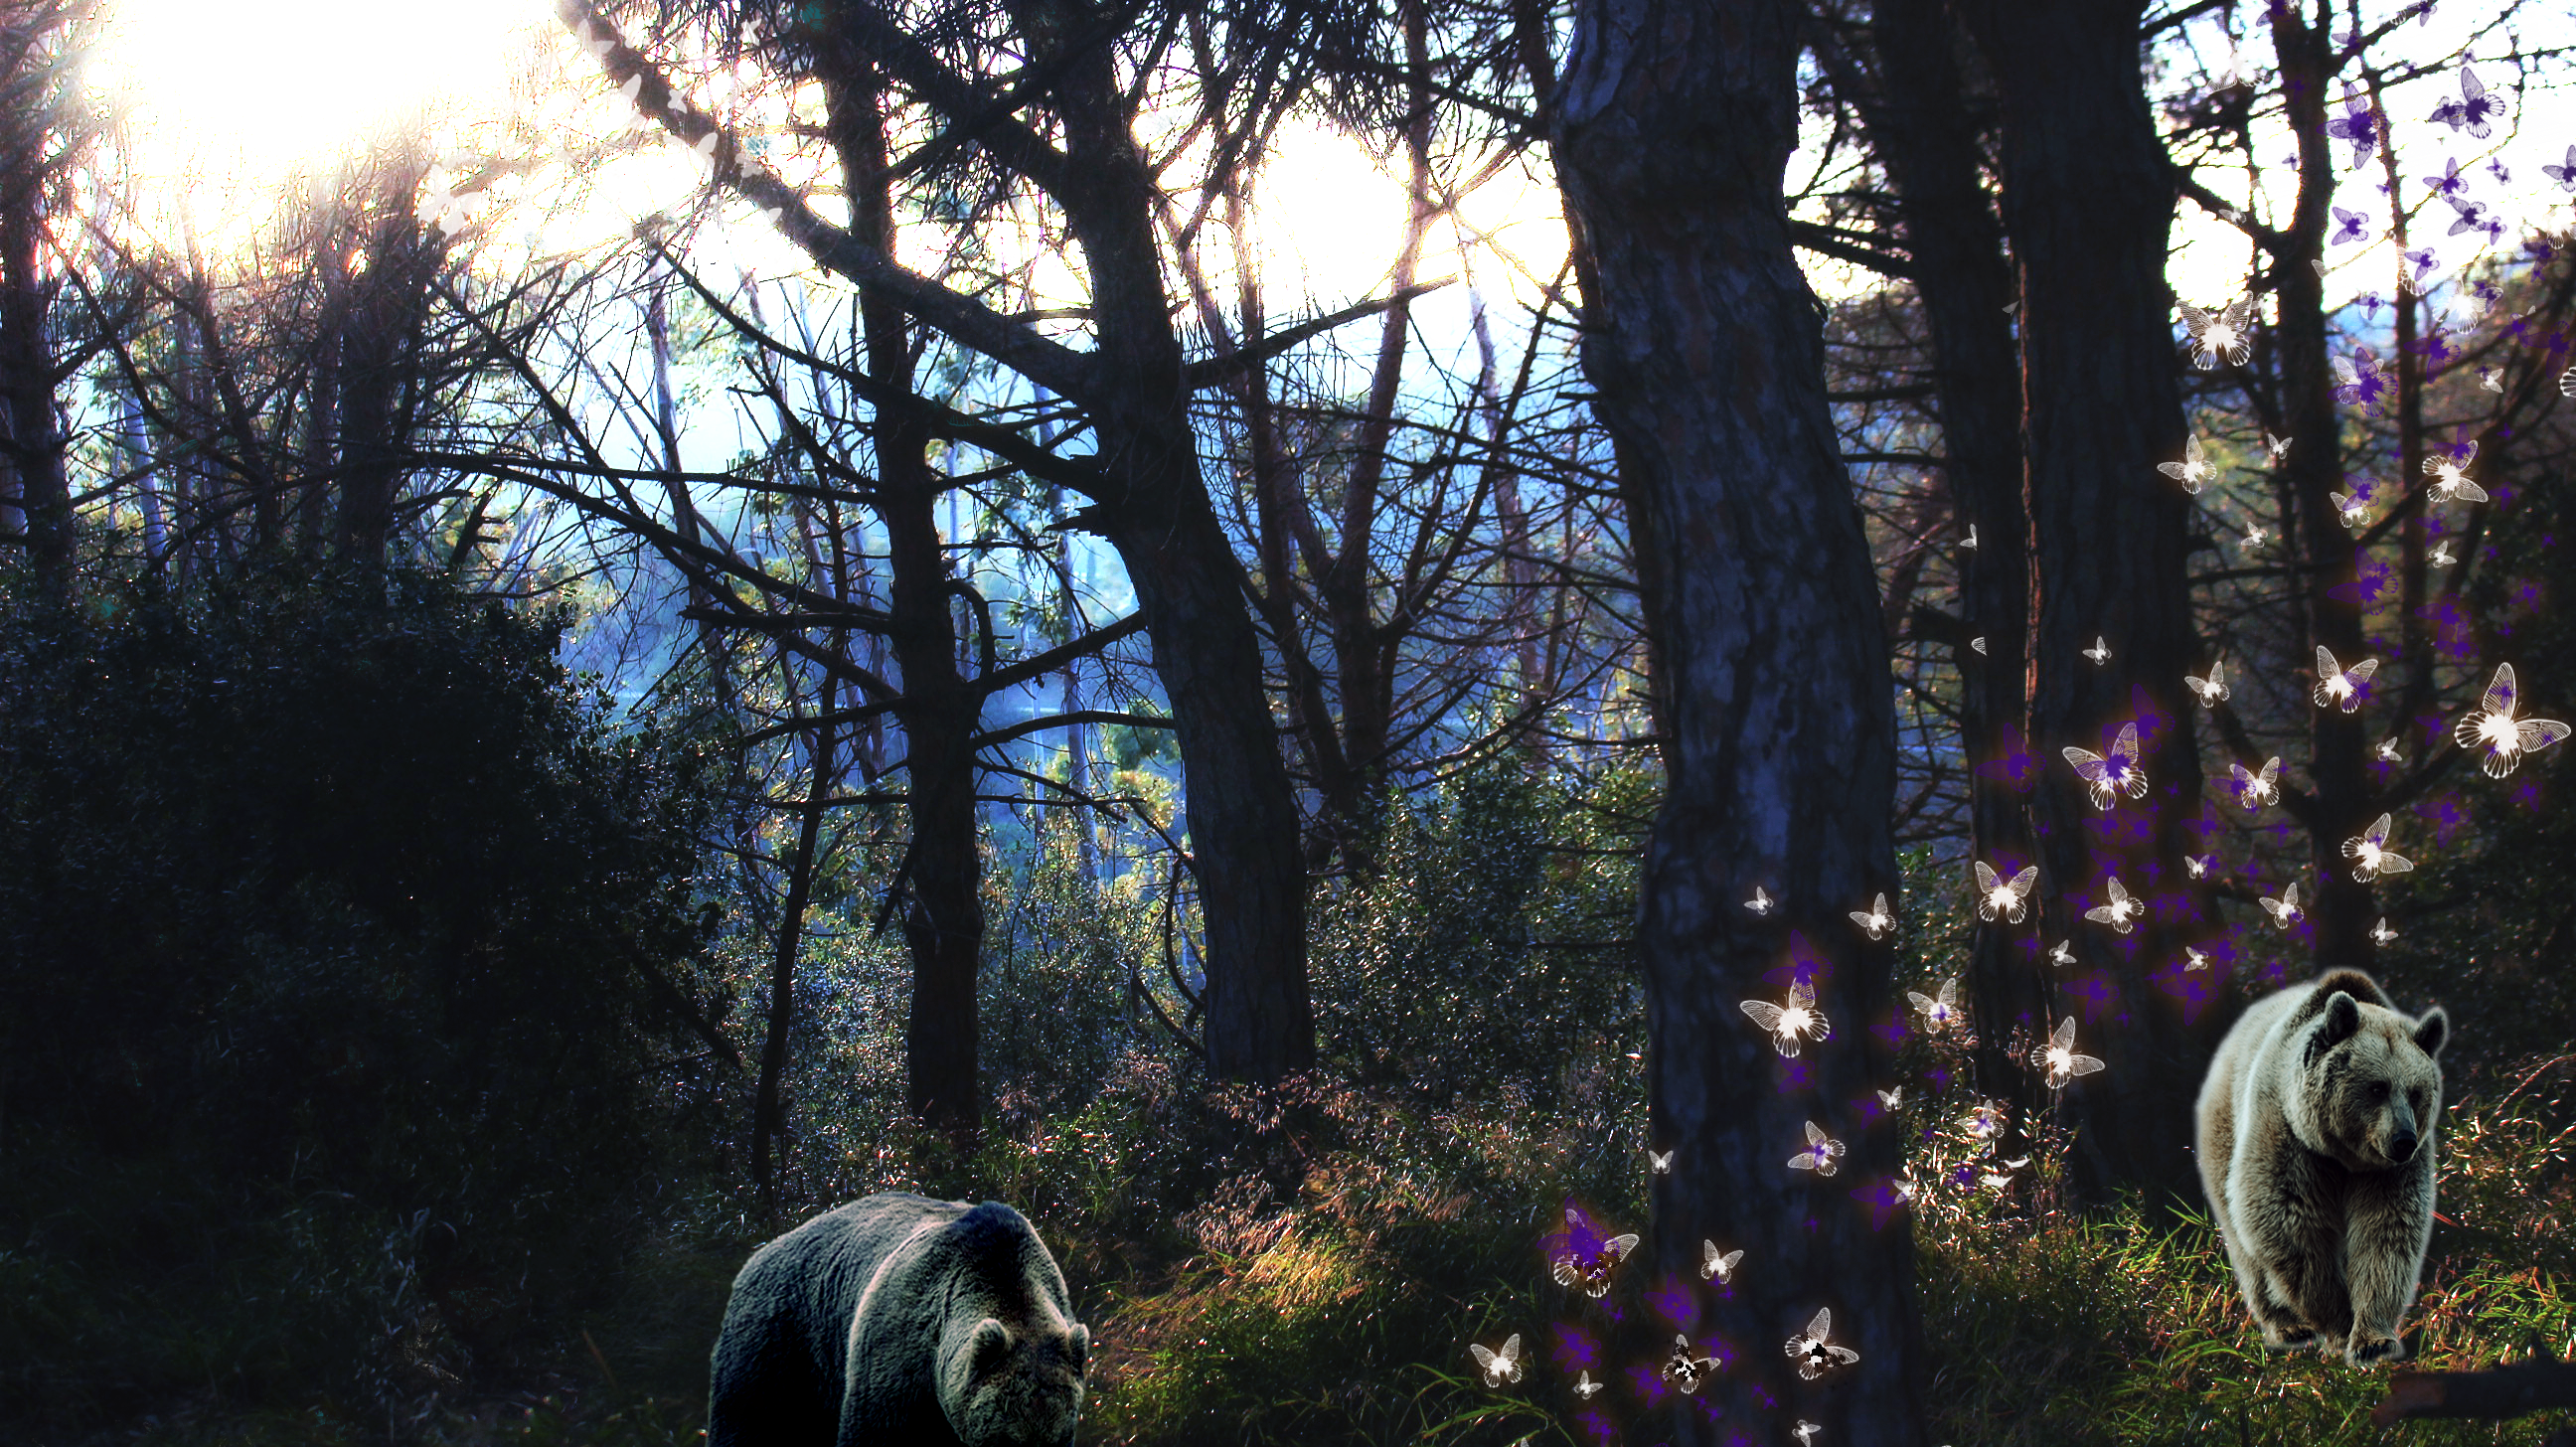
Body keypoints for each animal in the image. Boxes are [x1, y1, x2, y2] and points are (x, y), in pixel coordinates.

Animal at [707, 1192, 1090, 1447]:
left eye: (1060, 1438)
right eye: (1008, 1438)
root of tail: (758, 1256)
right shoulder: (899, 1355)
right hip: (783, 1347)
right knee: (746, 1418)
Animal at [2195, 967, 2447, 1367]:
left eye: (2416, 1092)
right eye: (2378, 1087)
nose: (2403, 1139)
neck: (2344, 1155)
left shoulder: (2387, 1174)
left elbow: (2385, 1235)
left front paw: (2373, 1338)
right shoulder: (2289, 1139)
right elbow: (2291, 1226)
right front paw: (2338, 1323)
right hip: (2225, 1129)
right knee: (2245, 1246)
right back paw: (2287, 1326)